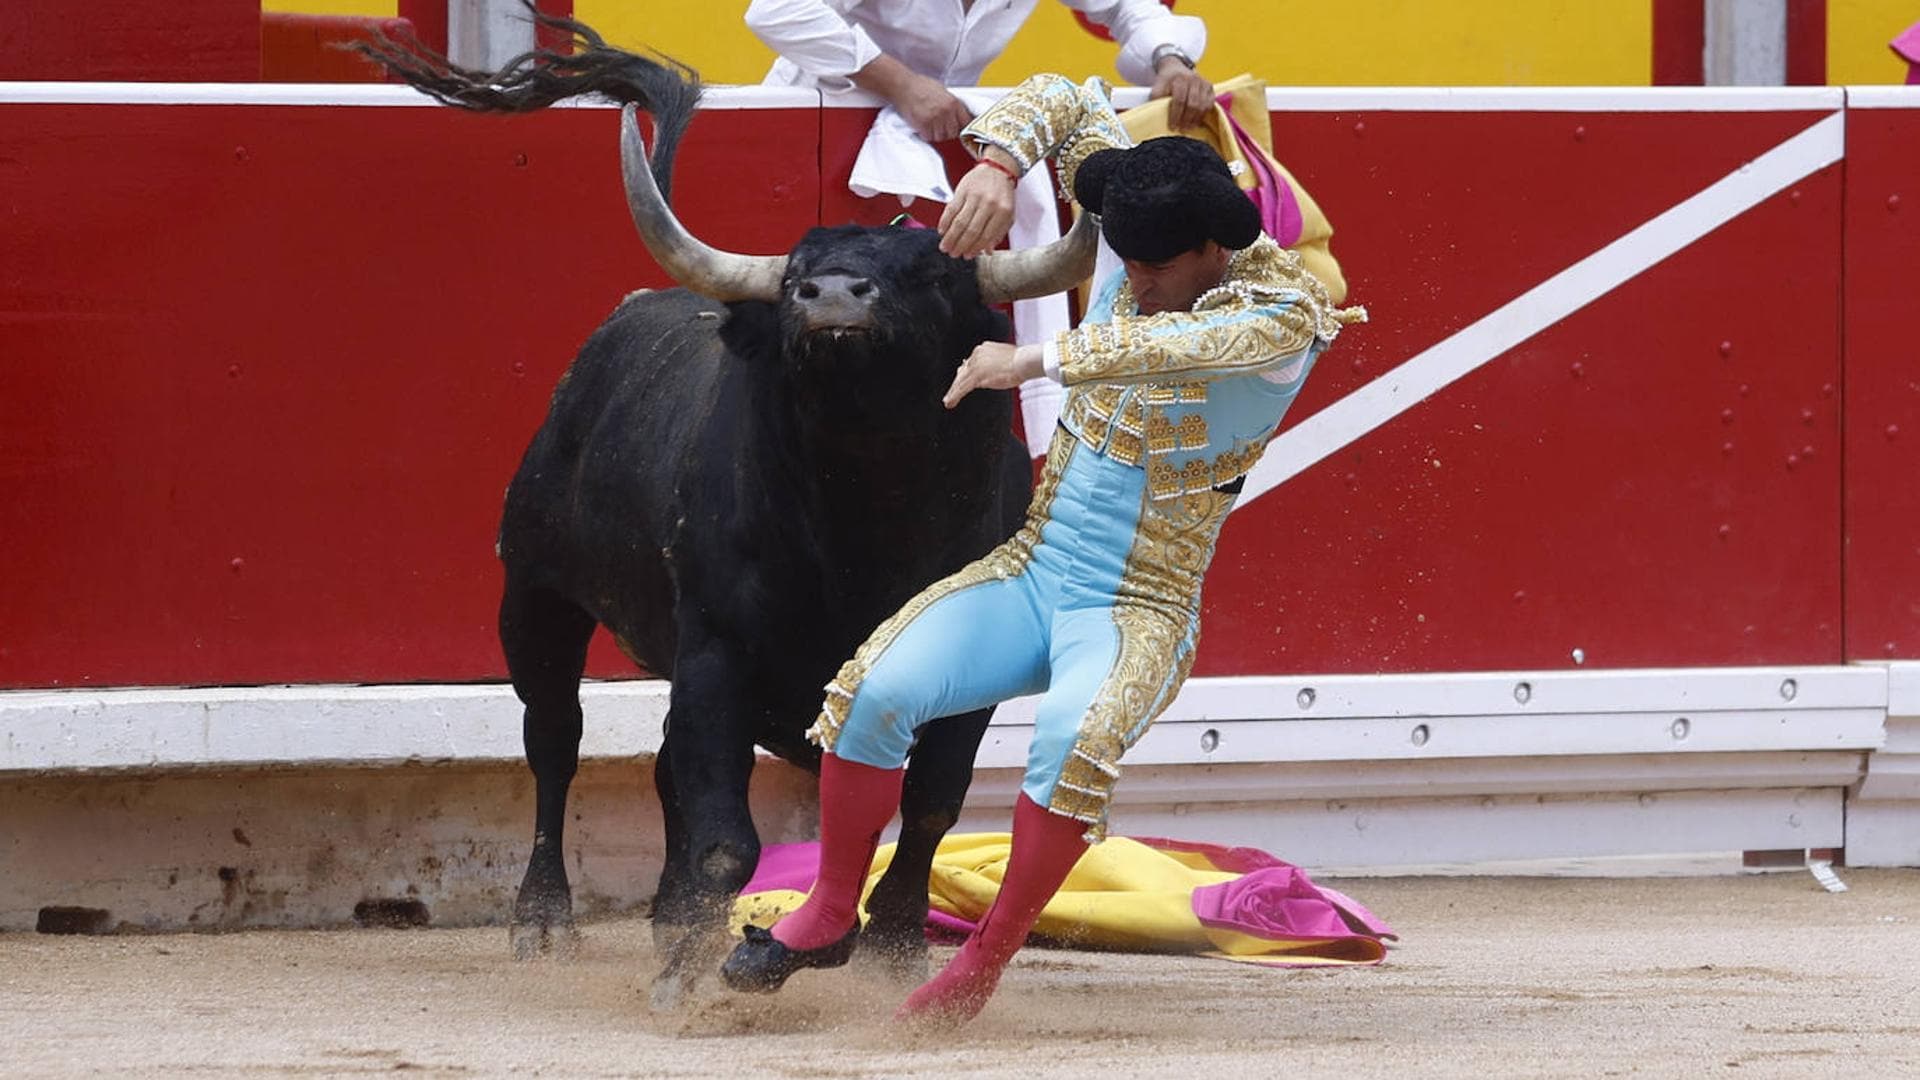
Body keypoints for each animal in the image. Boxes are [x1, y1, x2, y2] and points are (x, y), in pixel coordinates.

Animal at [362, 18, 1098, 1006]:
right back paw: (546, 922)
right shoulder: (717, 652)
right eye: (795, 274)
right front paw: (691, 973)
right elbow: (724, 836)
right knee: (555, 743)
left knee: (664, 766)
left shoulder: (963, 672)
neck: (866, 518)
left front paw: (890, 949)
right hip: (535, 598)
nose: (831, 298)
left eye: (930, 274)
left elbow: (929, 804)